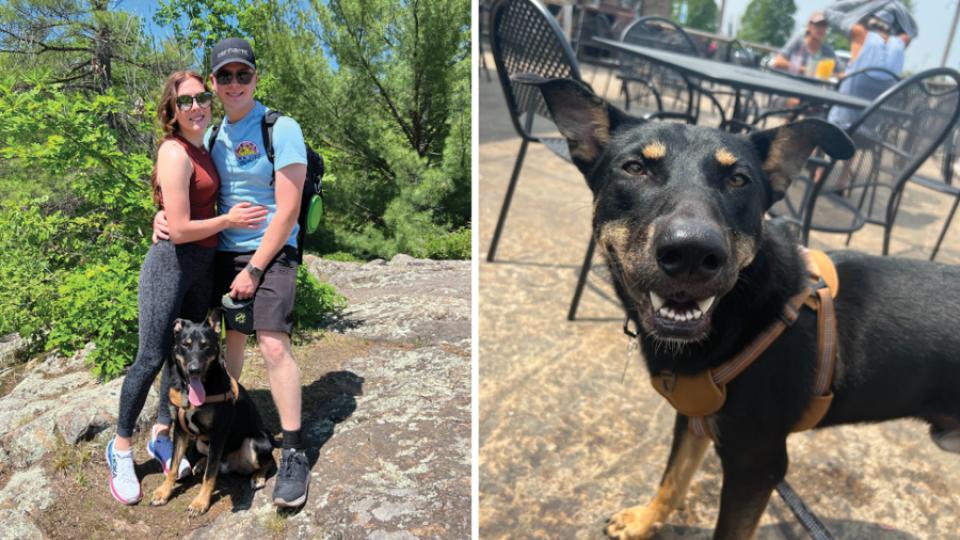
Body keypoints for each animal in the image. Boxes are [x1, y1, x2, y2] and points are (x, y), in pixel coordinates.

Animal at [150, 310, 276, 516]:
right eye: (185, 345)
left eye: (205, 346)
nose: (194, 370)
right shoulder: (180, 430)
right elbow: (174, 465)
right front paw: (164, 491)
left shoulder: (218, 433)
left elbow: (210, 475)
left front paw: (200, 502)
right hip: (201, 442)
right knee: (210, 459)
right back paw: (201, 463)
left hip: (255, 443)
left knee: (268, 461)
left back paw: (258, 476)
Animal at [516, 76, 960, 540]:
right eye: (635, 168)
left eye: (739, 179)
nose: (692, 253)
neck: (741, 313)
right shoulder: (695, 418)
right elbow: (673, 479)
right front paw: (644, 521)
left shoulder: (757, 464)